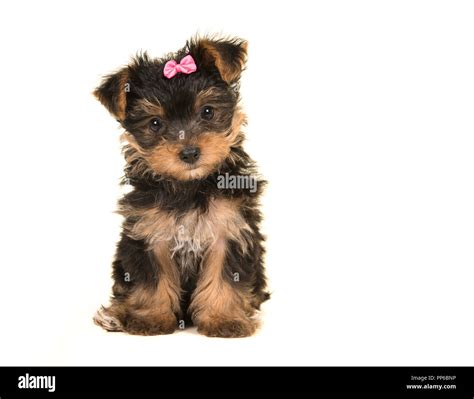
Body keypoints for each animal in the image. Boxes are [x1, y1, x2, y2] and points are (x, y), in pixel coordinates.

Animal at [92, 36, 268, 338]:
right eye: (155, 123)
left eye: (207, 112)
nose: (189, 153)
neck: (190, 186)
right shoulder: (148, 232)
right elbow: (151, 278)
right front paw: (150, 318)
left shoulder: (230, 227)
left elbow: (225, 274)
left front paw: (223, 319)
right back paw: (116, 315)